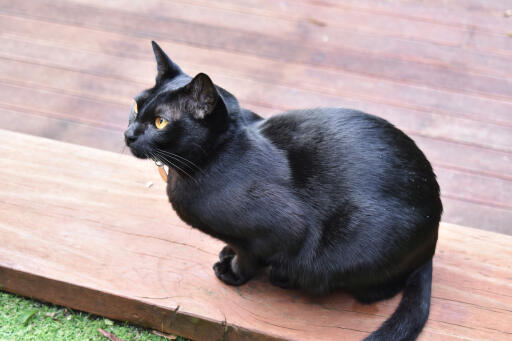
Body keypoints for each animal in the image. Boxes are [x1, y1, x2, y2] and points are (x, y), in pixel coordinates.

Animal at [124, 42, 440, 340]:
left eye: (160, 122)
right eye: (136, 107)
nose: (128, 134)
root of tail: (432, 236)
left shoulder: (280, 230)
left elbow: (249, 257)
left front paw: (232, 272)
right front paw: (227, 252)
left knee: (373, 289)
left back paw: (285, 277)